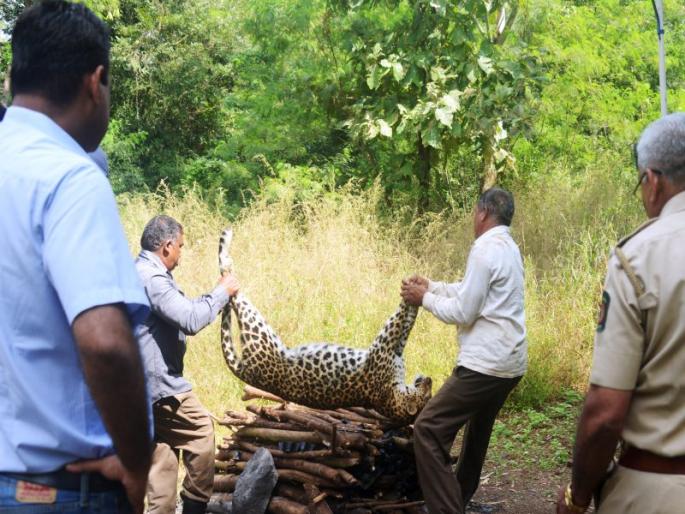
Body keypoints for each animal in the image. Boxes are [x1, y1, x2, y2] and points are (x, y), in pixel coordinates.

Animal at [218, 228, 432, 423]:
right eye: (427, 392)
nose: (429, 379)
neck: (391, 395)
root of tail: (249, 373)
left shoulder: (383, 346)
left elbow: (398, 319)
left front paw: (411, 291)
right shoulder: (393, 348)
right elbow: (407, 322)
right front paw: (415, 286)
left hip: (258, 330)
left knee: (236, 293)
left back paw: (226, 253)